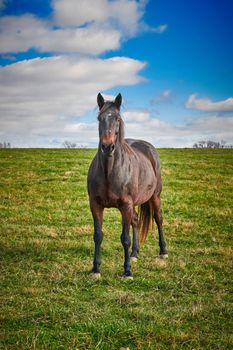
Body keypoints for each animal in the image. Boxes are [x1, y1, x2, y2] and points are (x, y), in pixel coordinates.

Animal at [87, 92, 167, 278]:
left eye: (117, 118)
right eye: (99, 118)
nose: (107, 146)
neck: (109, 172)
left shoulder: (125, 205)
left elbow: (125, 238)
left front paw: (127, 271)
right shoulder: (95, 205)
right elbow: (98, 235)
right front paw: (96, 269)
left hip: (155, 196)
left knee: (158, 218)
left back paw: (163, 251)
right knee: (136, 221)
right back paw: (135, 253)